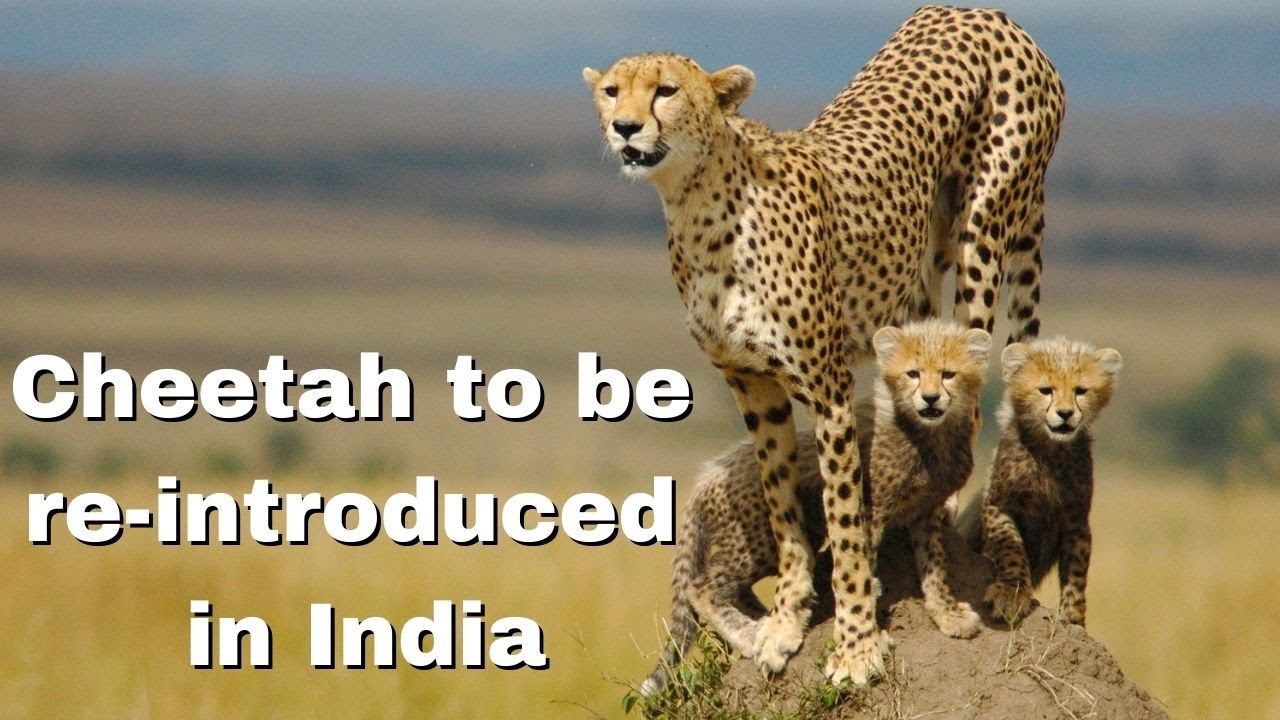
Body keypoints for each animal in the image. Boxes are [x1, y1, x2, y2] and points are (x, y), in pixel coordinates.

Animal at [641, 319, 990, 695]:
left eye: (948, 374)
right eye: (912, 373)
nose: (930, 398)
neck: (929, 434)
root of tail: (708, 474)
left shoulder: (927, 513)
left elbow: (934, 567)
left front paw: (948, 614)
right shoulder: (871, 511)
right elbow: (861, 570)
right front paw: (869, 637)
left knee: (736, 589)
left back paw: (775, 621)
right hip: (760, 540)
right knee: (702, 587)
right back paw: (753, 635)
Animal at [958, 337, 1122, 626]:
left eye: (1081, 391)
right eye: (1046, 390)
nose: (1065, 413)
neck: (1050, 451)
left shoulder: (1076, 520)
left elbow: (1077, 571)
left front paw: (1073, 617)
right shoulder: (998, 505)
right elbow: (1011, 549)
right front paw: (1011, 595)